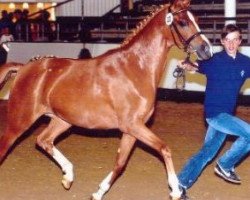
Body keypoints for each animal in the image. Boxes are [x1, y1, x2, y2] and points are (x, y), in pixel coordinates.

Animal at [0, 0, 213, 199]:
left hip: (62, 121)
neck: (135, 68)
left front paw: (98, 192)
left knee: (43, 140)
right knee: (8, 145)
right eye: (183, 22)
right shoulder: (133, 125)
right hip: (20, 121)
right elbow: (164, 148)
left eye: (196, 19)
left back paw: (68, 176)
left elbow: (120, 163)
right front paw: (175, 190)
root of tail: (23, 68)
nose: (207, 49)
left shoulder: (131, 130)